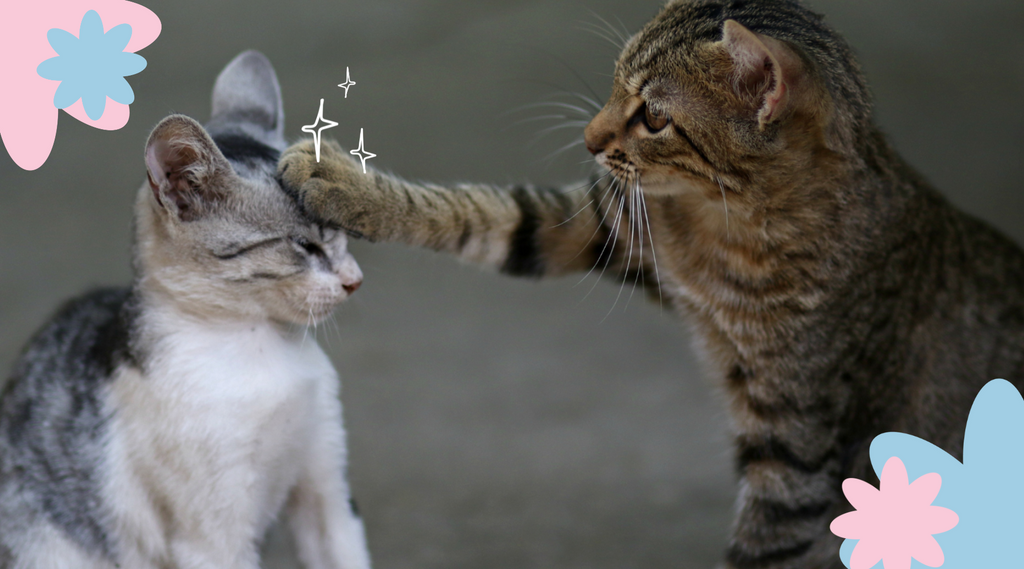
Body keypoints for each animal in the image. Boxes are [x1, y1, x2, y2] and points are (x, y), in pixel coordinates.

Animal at [0, 52, 368, 569]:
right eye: (304, 245)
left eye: (338, 234)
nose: (355, 279)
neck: (260, 347)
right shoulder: (214, 535)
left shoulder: (327, 490)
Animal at [274, 1, 1024, 569]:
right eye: (613, 84)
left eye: (655, 117)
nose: (587, 137)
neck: (725, 229)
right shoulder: (601, 225)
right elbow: (475, 211)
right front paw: (347, 184)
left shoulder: (797, 455)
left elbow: (764, 549)